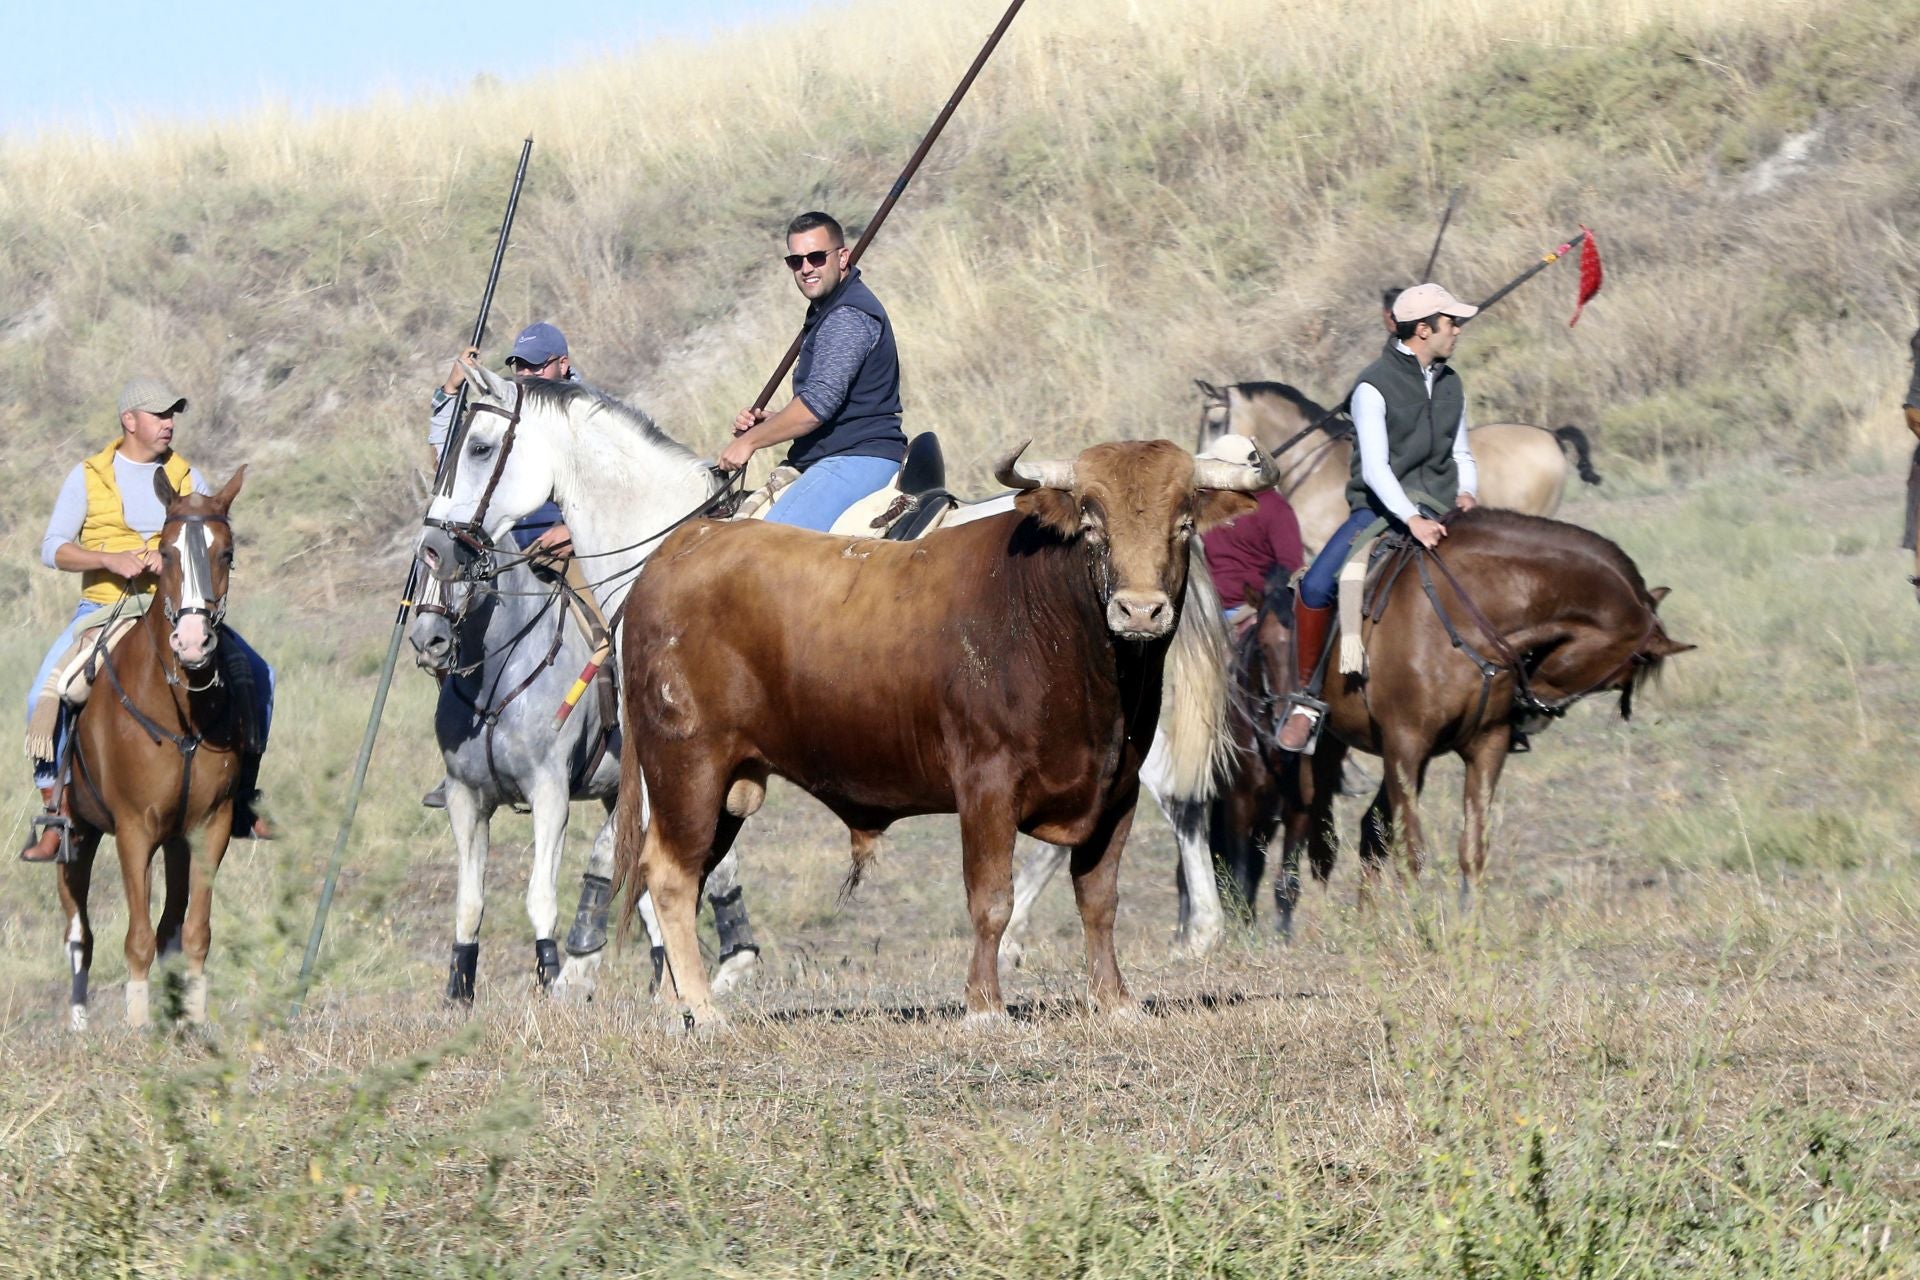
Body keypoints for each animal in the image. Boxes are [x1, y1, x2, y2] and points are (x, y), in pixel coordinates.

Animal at [49, 470, 251, 1028]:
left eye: (226, 553)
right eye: (163, 552)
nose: (193, 642)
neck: (179, 713)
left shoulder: (210, 827)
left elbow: (194, 933)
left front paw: (193, 1020)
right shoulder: (133, 830)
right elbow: (136, 938)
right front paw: (138, 1027)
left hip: (175, 842)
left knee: (170, 929)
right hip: (76, 834)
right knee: (79, 933)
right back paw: (79, 1025)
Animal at [622, 441, 1267, 1028]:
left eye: (1183, 523)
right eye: (1091, 523)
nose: (1139, 611)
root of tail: (680, 549)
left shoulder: (1117, 790)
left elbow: (1099, 900)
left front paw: (1115, 1000)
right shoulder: (987, 785)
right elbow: (992, 899)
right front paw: (985, 1007)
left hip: (725, 788)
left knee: (689, 873)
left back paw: (676, 1005)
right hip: (688, 768)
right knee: (672, 876)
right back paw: (704, 1010)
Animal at [1259, 506, 1697, 936]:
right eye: (1622, 673)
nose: (1529, 709)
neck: (1465, 616)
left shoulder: (1486, 745)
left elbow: (1473, 847)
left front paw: (1468, 929)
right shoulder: (1405, 745)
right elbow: (1411, 849)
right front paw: (1419, 928)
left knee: (1369, 830)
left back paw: (1365, 922)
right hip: (1323, 748)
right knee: (1311, 826)